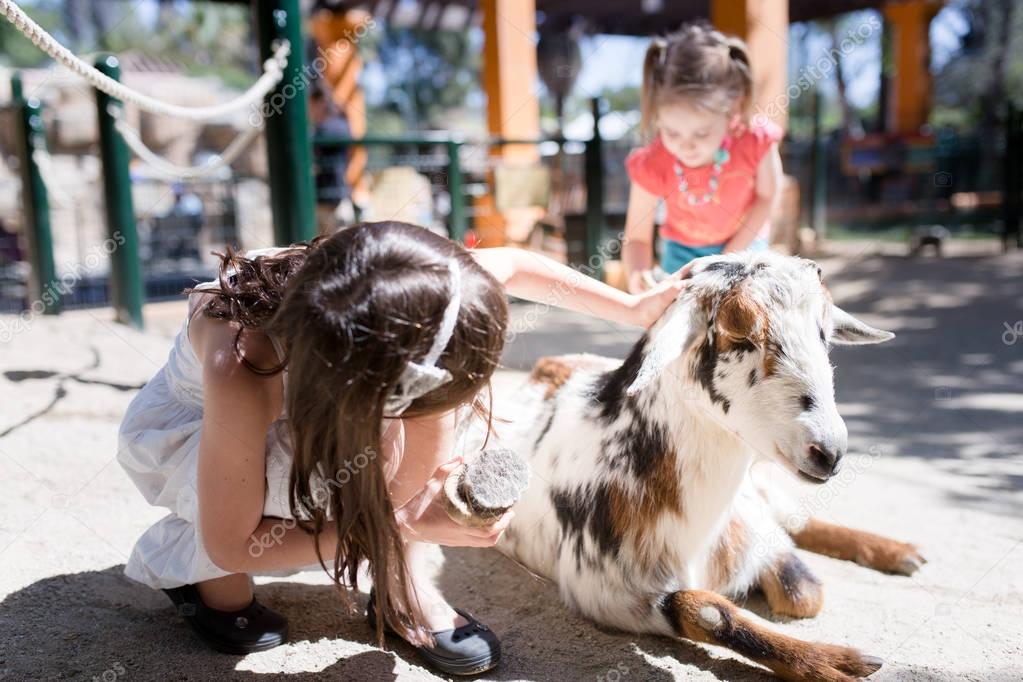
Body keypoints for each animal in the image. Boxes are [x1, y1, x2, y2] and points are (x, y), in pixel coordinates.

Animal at [470, 252, 928, 682]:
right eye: (739, 330)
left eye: (824, 332)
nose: (828, 451)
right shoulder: (603, 593)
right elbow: (706, 608)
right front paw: (831, 664)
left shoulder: (754, 530)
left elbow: (803, 590)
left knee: (798, 518)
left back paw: (901, 552)